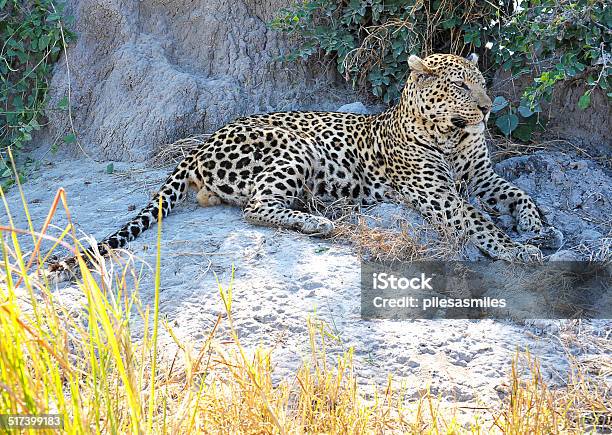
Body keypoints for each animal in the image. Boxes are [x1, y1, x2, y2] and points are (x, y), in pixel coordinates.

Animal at [46, 52, 548, 282]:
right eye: (461, 86)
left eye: (482, 83)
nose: (486, 109)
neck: (452, 133)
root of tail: (204, 141)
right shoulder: (437, 193)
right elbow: (478, 222)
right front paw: (517, 250)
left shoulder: (480, 174)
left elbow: (517, 193)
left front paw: (538, 227)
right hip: (296, 148)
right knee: (255, 207)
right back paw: (314, 222)